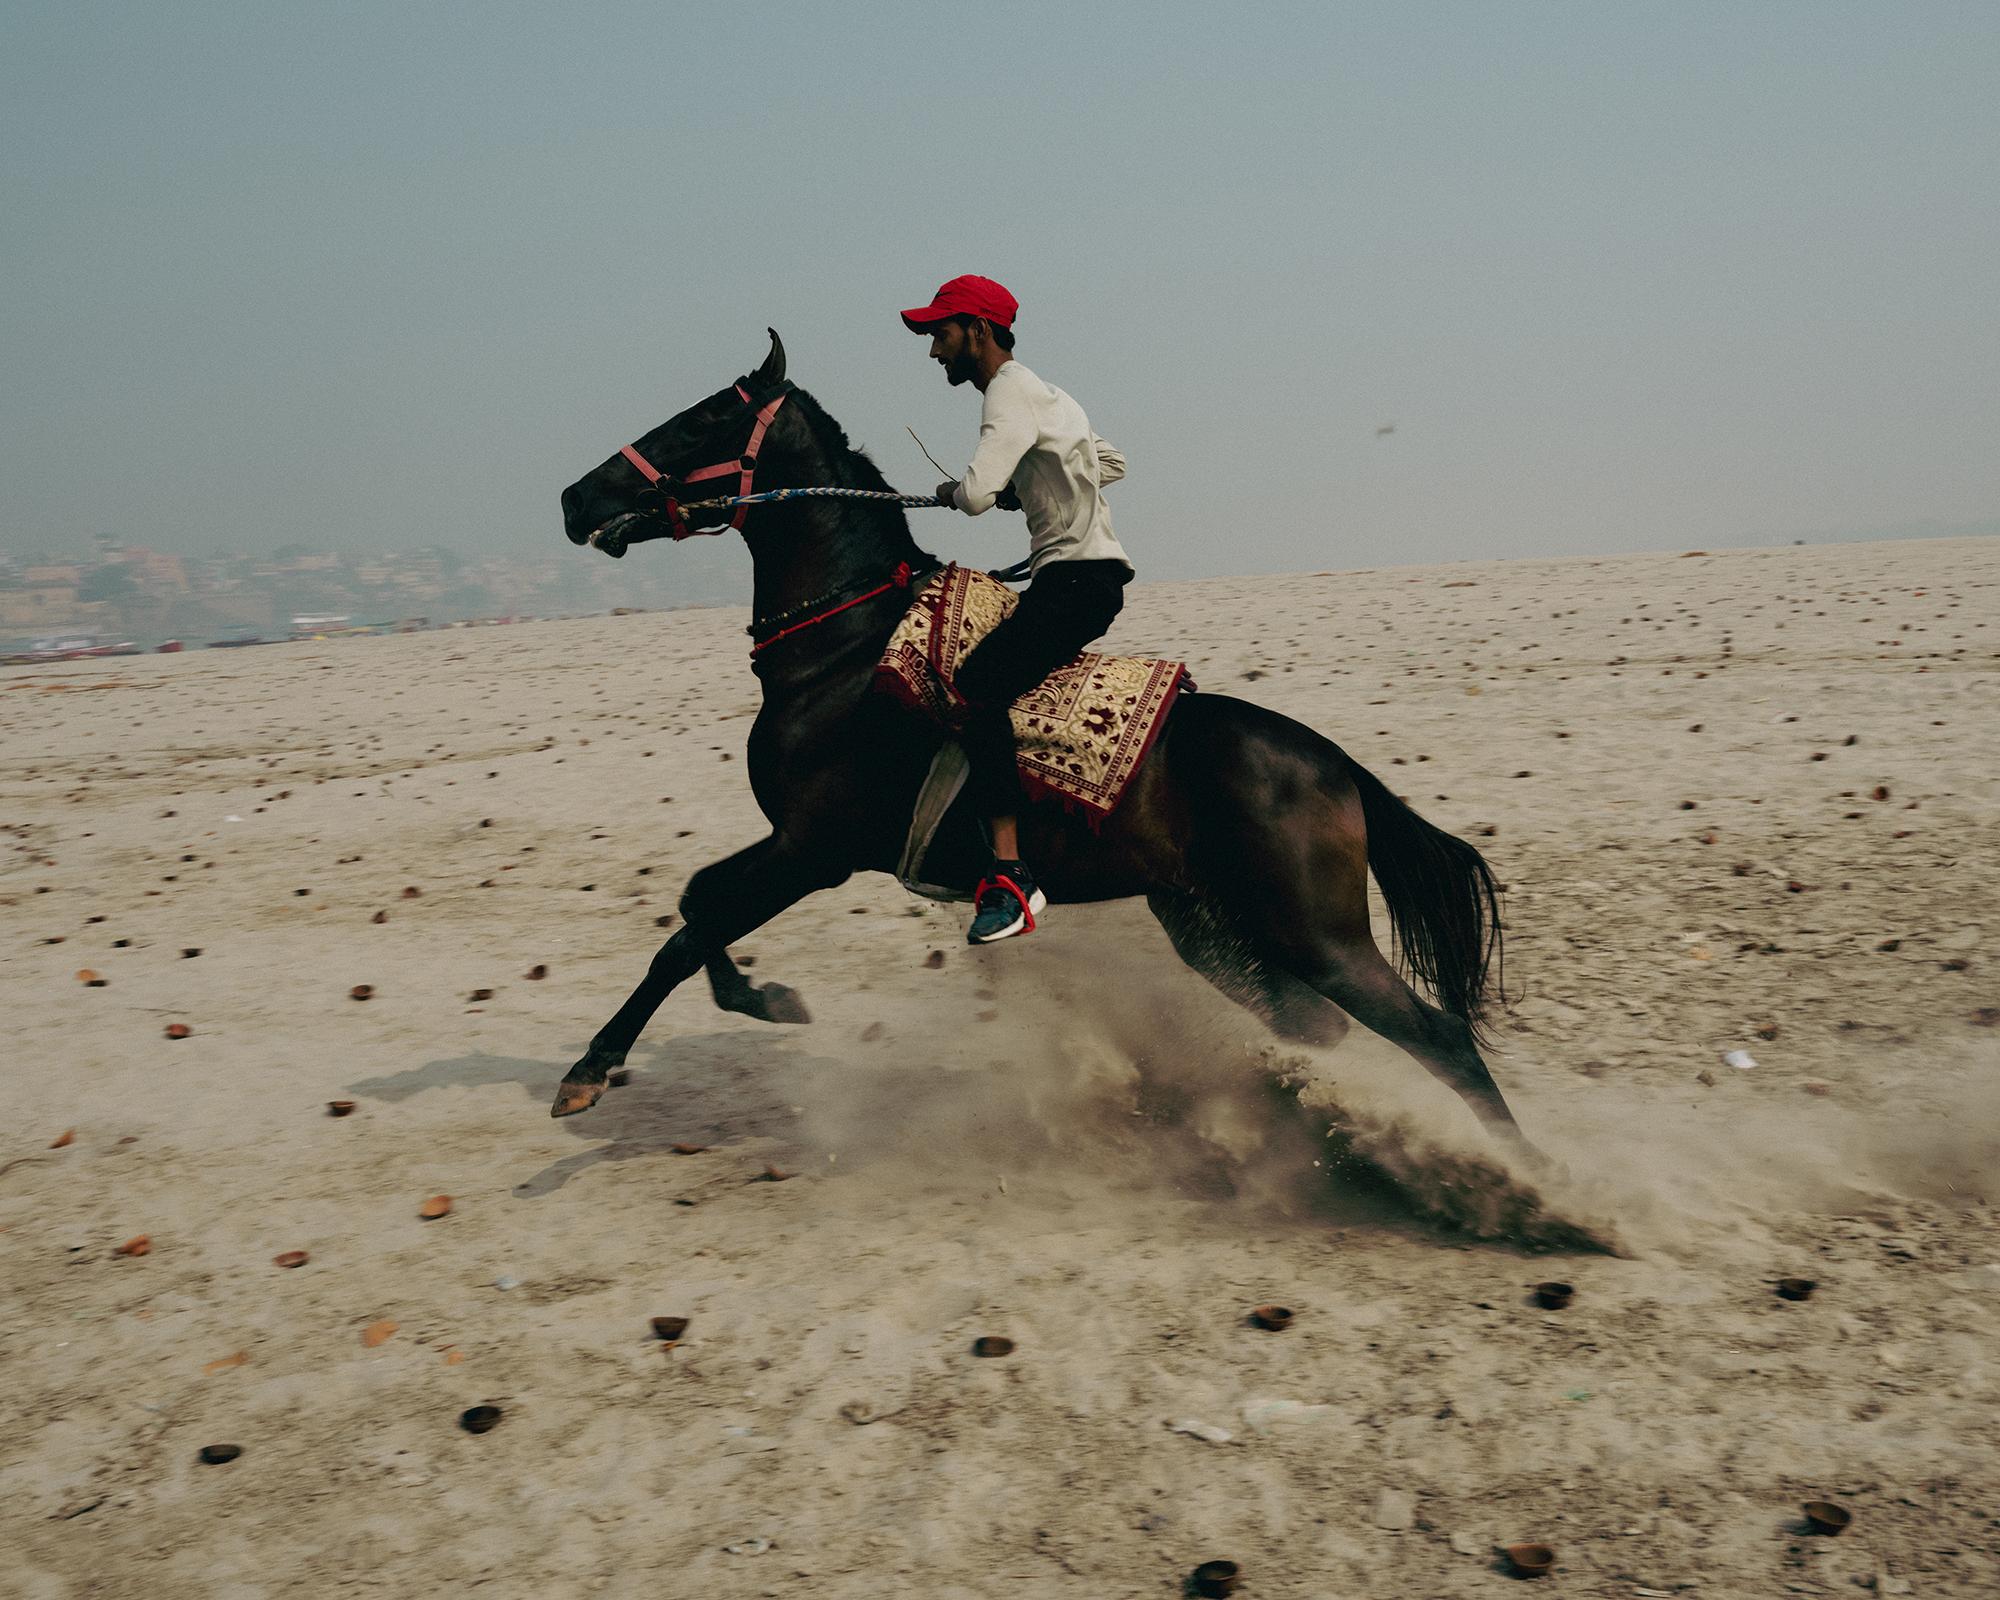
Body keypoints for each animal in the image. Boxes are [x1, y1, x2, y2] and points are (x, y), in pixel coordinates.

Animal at [553, 330, 1528, 1155]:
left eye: (700, 419)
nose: (574, 498)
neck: (845, 651)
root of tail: (1336, 768)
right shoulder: (789, 842)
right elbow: (694, 903)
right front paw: (762, 998)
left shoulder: (812, 850)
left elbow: (688, 934)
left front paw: (591, 1071)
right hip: (1206, 925)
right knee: (1317, 1026)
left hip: (1318, 935)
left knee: (1438, 1035)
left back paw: (1531, 1186)